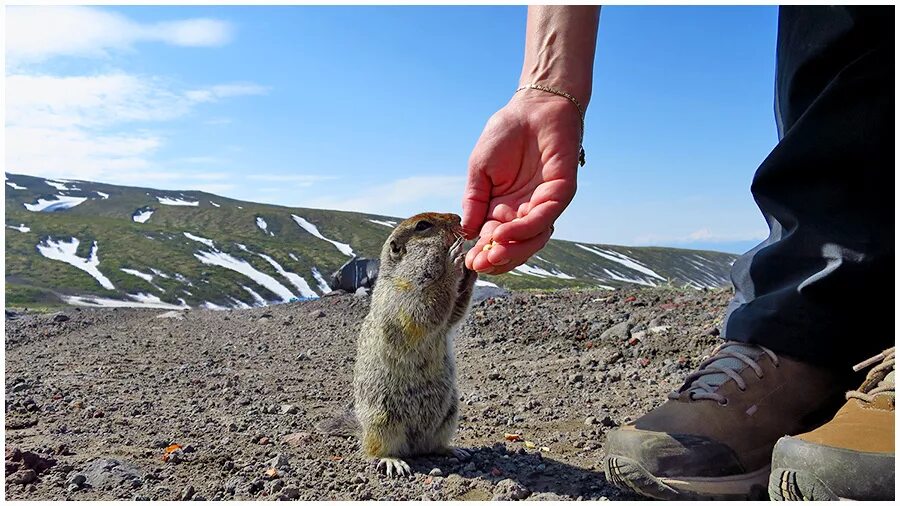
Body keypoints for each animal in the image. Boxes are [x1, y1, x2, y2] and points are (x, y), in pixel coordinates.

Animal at [316, 211, 474, 476]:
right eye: (423, 225)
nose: (459, 217)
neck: (403, 275)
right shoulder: (400, 296)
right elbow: (426, 309)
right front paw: (454, 261)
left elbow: (454, 313)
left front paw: (472, 269)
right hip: (383, 420)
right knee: (375, 450)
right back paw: (393, 460)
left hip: (450, 413)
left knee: (434, 445)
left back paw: (453, 449)